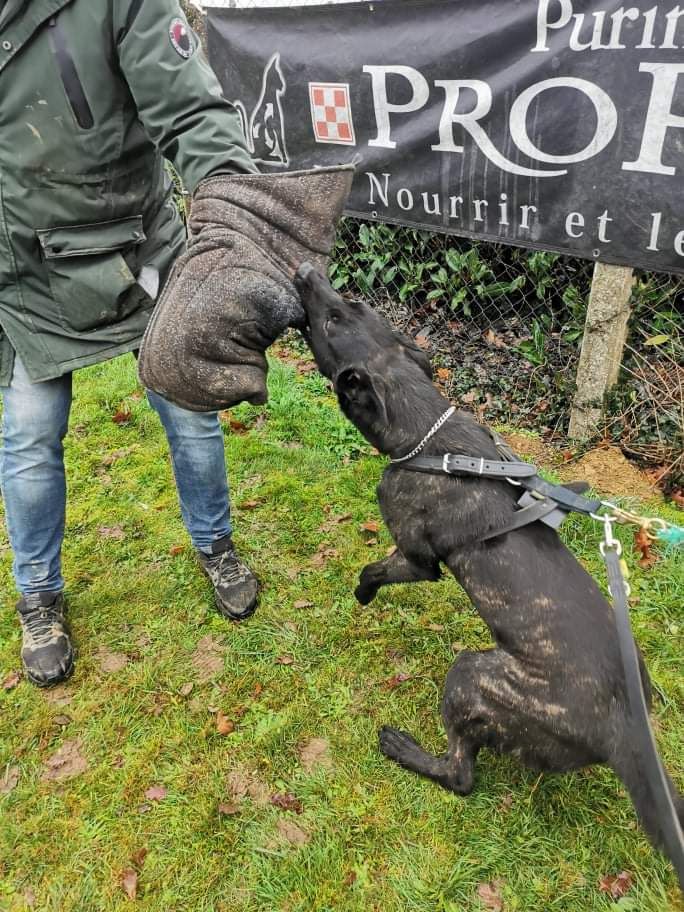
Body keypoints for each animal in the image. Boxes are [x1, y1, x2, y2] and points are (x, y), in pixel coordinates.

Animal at [296, 266, 684, 864]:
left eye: (334, 318)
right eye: (351, 307)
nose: (305, 272)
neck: (429, 434)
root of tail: (621, 732)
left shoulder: (417, 559)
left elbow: (374, 569)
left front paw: (362, 593)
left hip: (470, 677)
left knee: (460, 775)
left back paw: (404, 749)